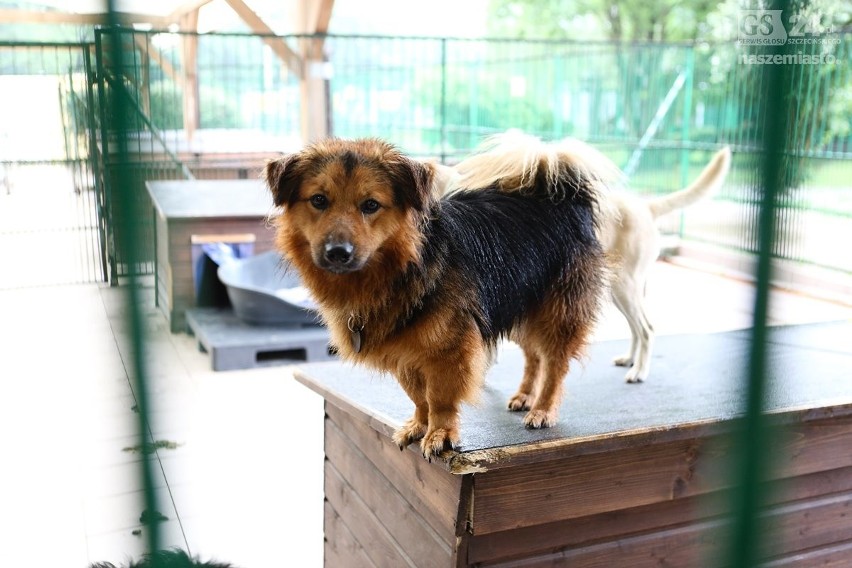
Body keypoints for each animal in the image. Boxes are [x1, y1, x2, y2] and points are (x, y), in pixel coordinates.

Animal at [262, 136, 616, 458]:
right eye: (319, 200)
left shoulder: (450, 348)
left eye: (371, 205)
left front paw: (441, 433)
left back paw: (542, 408)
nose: (338, 252)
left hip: (558, 312)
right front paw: (420, 425)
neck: (402, 269)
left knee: (554, 363)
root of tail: (560, 193)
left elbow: (440, 397)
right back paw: (525, 395)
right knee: (533, 355)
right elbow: (418, 396)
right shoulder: (404, 352)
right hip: (516, 303)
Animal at [436, 132, 728, 382]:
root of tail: (645, 205)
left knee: (647, 329)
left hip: (624, 286)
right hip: (616, 290)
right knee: (636, 328)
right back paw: (630, 359)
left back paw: (639, 372)